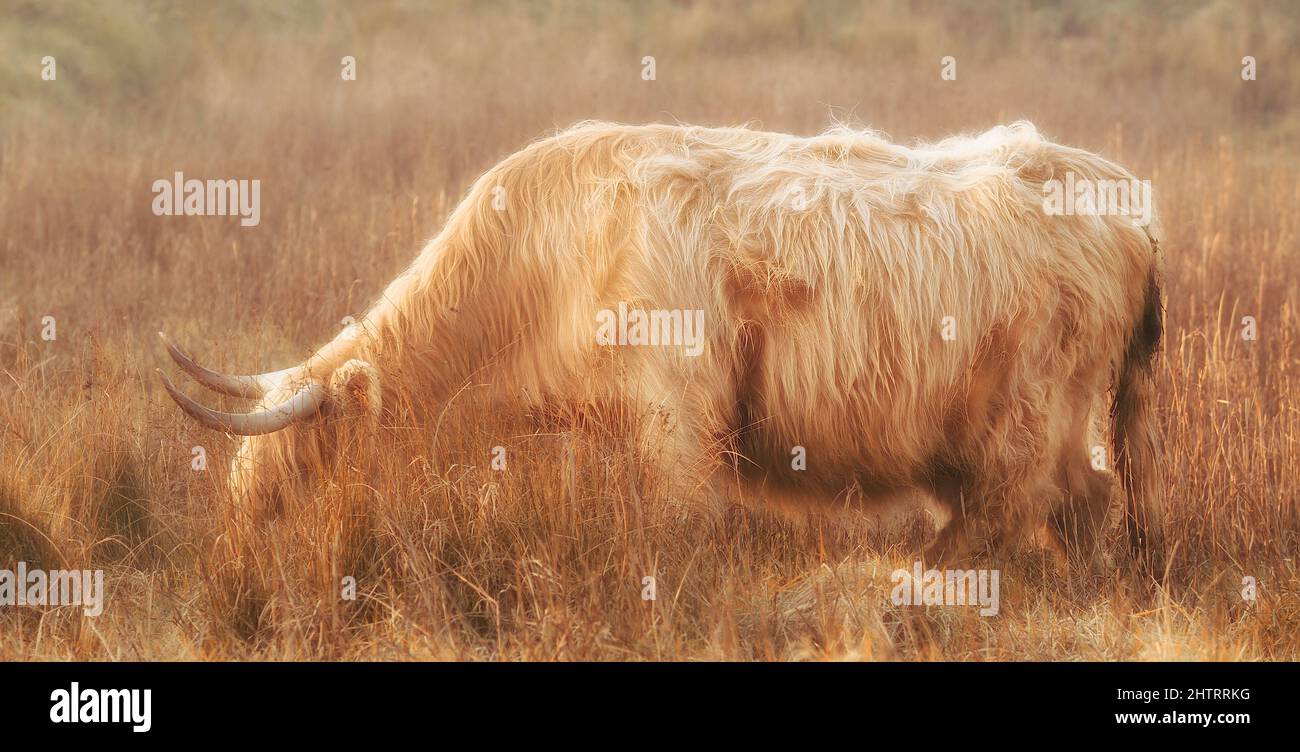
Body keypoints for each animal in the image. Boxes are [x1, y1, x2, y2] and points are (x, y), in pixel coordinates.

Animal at [159, 120, 1165, 574]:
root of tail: (1121, 194)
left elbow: (680, 530)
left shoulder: (679, 415)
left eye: (301, 470)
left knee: (1040, 501)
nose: (234, 564)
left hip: (1034, 408)